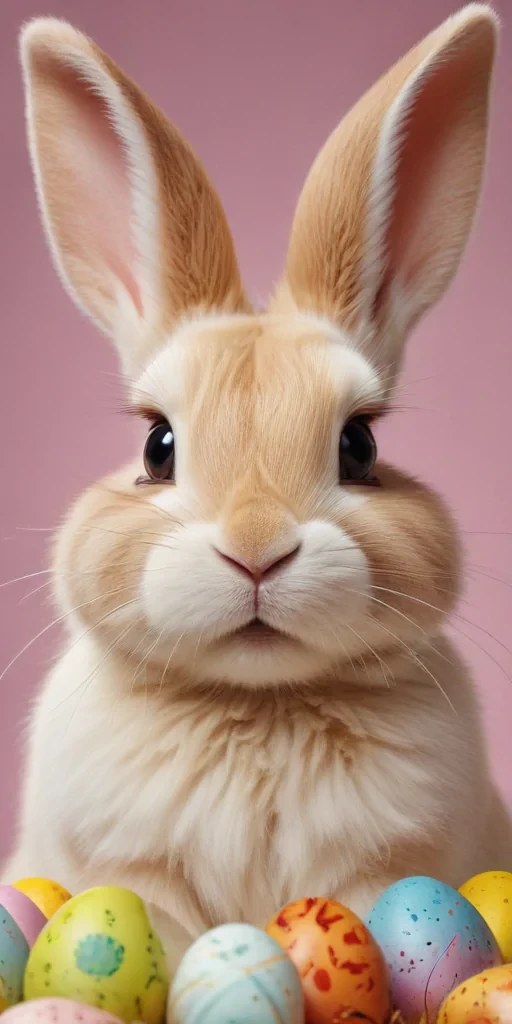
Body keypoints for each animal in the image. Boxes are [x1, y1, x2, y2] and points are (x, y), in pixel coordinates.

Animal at [3, 4, 511, 950]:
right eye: (157, 447)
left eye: (359, 446)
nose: (256, 551)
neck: (259, 703)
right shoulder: (133, 873)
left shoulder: (384, 869)